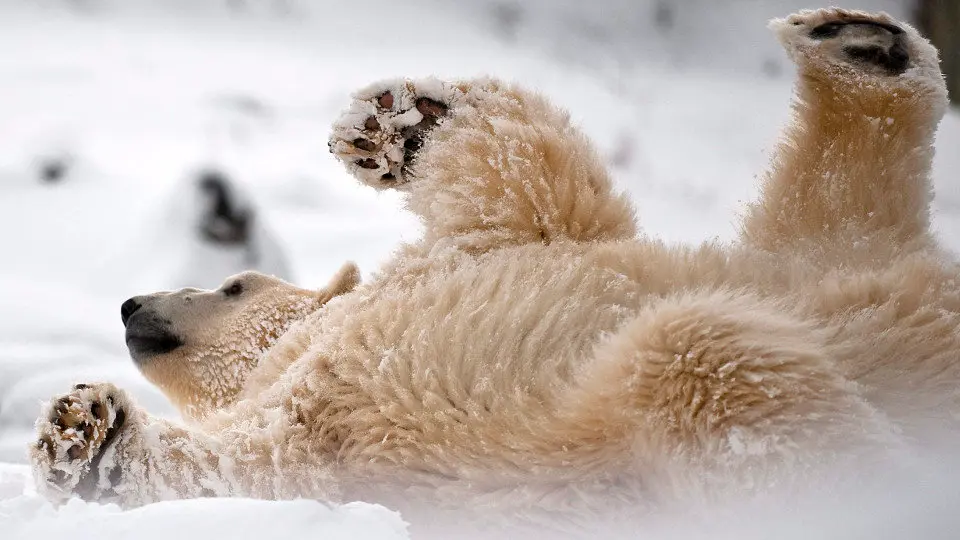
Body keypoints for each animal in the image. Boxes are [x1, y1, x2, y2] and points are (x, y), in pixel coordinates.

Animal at [28, 7, 960, 534]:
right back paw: (861, 48)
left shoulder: (478, 249)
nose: (132, 303)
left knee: (718, 332)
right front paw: (84, 439)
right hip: (828, 271)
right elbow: (239, 474)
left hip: (807, 272)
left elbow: (525, 182)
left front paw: (398, 120)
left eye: (233, 282)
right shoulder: (314, 443)